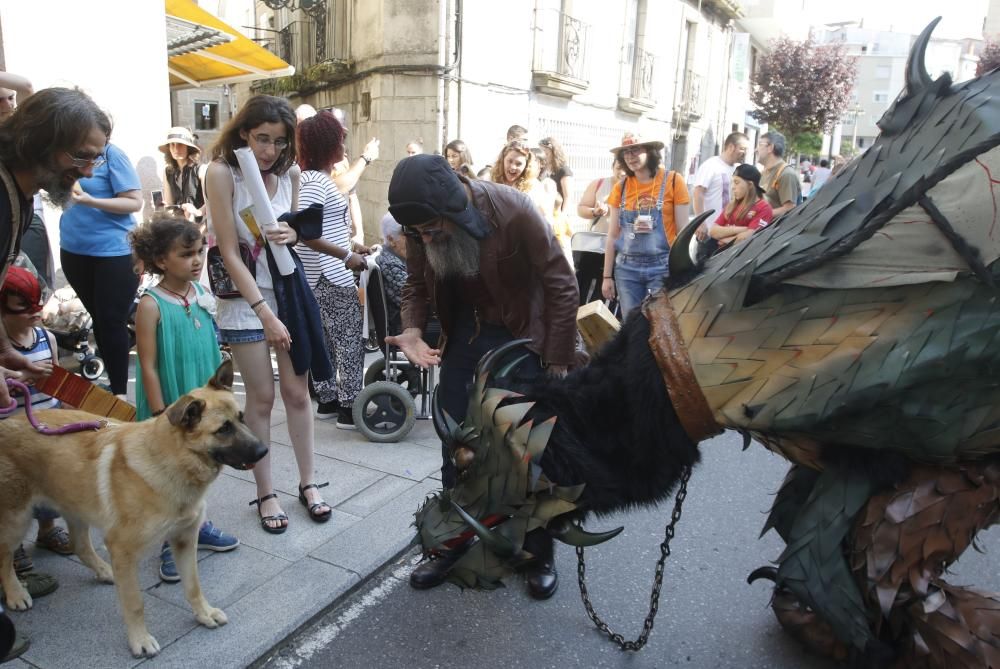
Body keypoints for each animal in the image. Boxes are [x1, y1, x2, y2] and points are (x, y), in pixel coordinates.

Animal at [0, 360, 266, 656]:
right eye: (223, 429)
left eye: (242, 418)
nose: (264, 451)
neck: (172, 461)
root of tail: (7, 421)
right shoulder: (123, 551)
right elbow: (135, 603)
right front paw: (139, 640)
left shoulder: (185, 540)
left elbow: (194, 585)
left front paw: (204, 613)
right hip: (16, 520)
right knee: (4, 557)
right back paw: (16, 593)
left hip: (75, 506)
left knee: (80, 546)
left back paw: (104, 570)